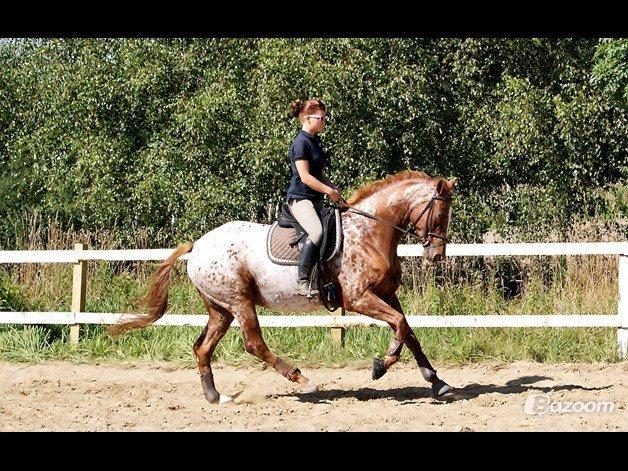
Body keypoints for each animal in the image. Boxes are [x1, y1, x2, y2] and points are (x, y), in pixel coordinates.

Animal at [110, 171, 456, 404]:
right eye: (440, 212)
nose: (436, 256)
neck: (371, 231)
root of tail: (198, 245)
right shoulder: (359, 299)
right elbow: (399, 325)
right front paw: (381, 366)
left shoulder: (386, 294)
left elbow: (408, 330)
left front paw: (437, 382)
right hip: (240, 302)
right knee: (254, 344)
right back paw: (303, 380)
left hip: (220, 308)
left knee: (203, 348)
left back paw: (215, 396)